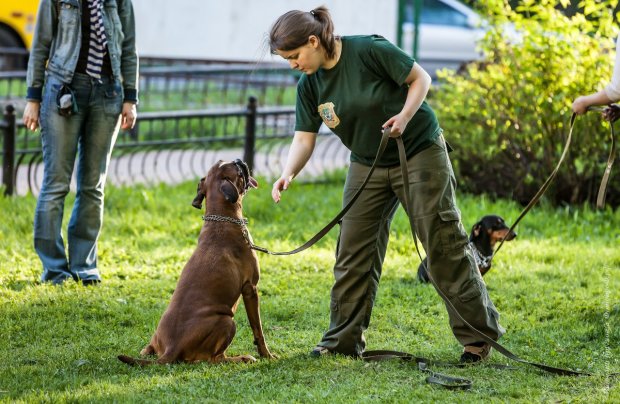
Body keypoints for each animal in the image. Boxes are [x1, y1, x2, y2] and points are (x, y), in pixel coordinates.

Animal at [120, 159, 274, 364]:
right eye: (238, 170)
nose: (239, 160)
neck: (222, 218)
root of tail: (171, 349)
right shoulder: (251, 289)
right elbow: (258, 329)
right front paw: (267, 355)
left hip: (155, 340)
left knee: (146, 350)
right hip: (227, 321)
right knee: (214, 358)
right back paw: (242, 358)